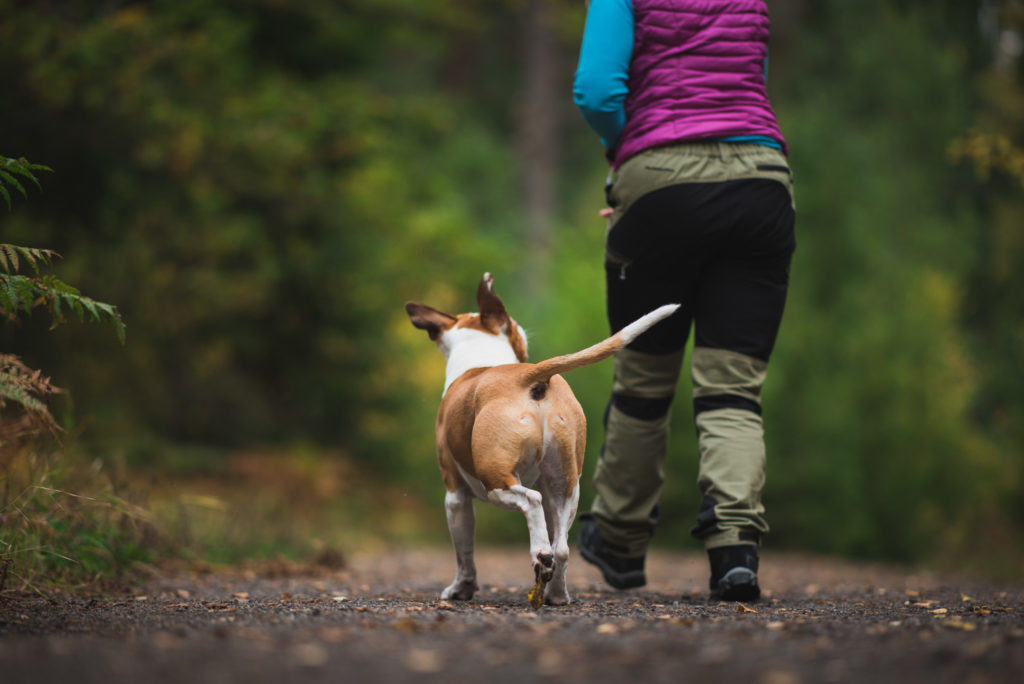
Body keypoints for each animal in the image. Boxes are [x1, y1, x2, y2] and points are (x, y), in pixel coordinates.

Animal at [403, 272, 675, 602]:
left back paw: (540, 557)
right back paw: (556, 593)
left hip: (495, 479)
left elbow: (464, 554)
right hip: (566, 487)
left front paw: (460, 588)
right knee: (561, 547)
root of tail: (531, 376)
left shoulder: (455, 496)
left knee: (531, 502)